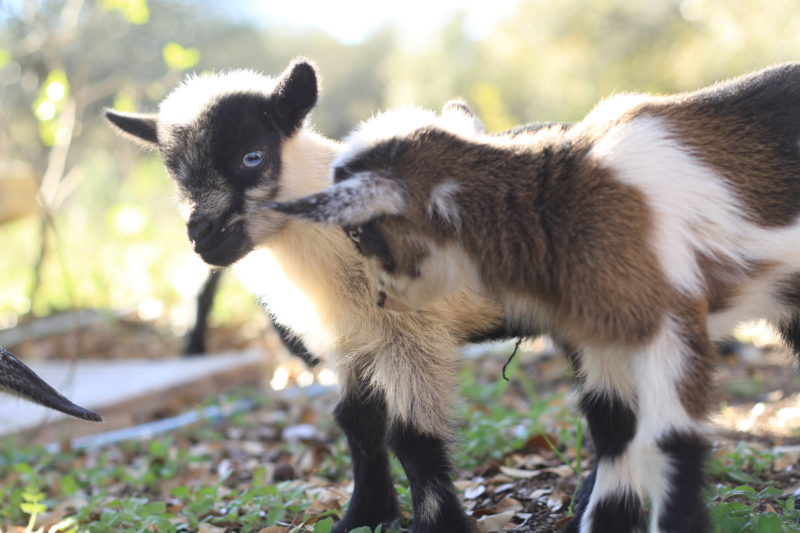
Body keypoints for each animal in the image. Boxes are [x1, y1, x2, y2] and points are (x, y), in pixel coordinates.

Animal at [105, 59, 535, 533]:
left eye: (253, 156)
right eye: (175, 173)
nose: (202, 235)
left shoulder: (414, 338)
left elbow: (411, 439)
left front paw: (437, 526)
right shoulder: (352, 344)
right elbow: (357, 424)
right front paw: (364, 516)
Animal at [270, 63, 800, 532]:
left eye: (359, 234)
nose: (381, 301)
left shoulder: (668, 318)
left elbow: (670, 440)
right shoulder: (606, 331)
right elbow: (614, 427)